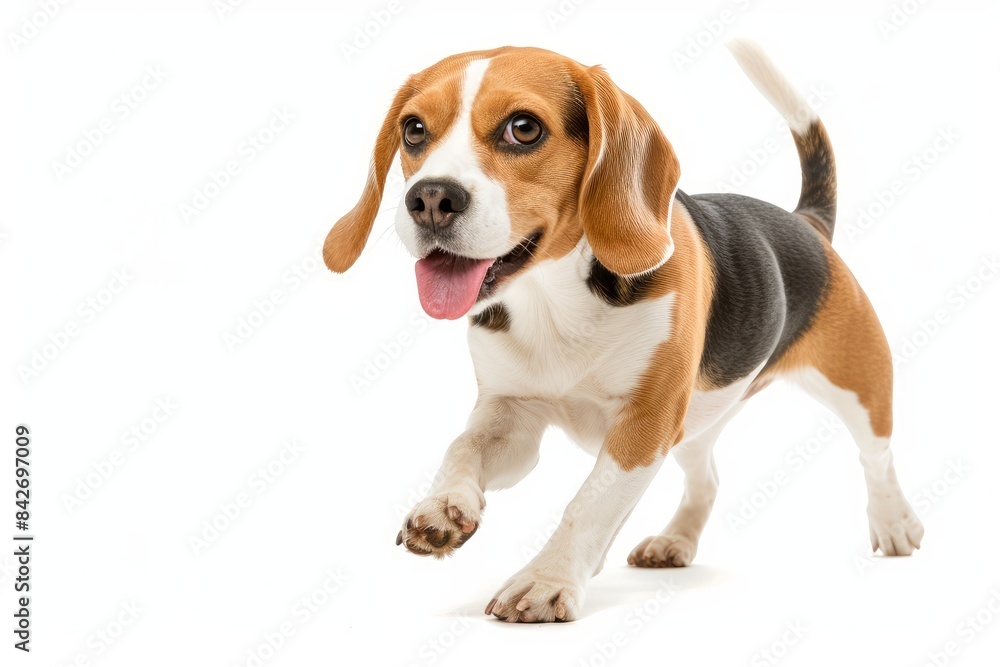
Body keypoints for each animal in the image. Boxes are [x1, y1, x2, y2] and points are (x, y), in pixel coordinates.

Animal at [322, 41, 920, 624]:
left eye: (524, 128)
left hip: (859, 385)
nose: (429, 199)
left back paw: (894, 523)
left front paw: (548, 580)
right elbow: (462, 446)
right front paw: (444, 508)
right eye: (414, 130)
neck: (554, 298)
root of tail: (807, 222)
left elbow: (589, 504)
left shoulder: (644, 424)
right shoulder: (512, 414)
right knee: (707, 478)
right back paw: (675, 541)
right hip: (694, 425)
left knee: (877, 458)